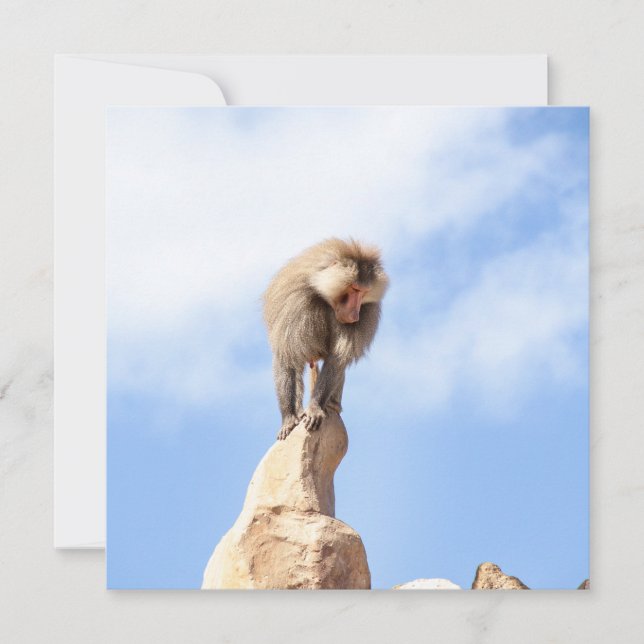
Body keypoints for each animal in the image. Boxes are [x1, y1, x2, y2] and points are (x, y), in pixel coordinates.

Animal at [263, 238, 389, 441]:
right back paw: (299, 412)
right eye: (354, 289)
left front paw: (315, 408)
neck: (323, 294)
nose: (355, 315)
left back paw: (332, 406)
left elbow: (337, 359)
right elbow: (287, 356)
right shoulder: (295, 304)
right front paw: (288, 419)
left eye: (364, 292)